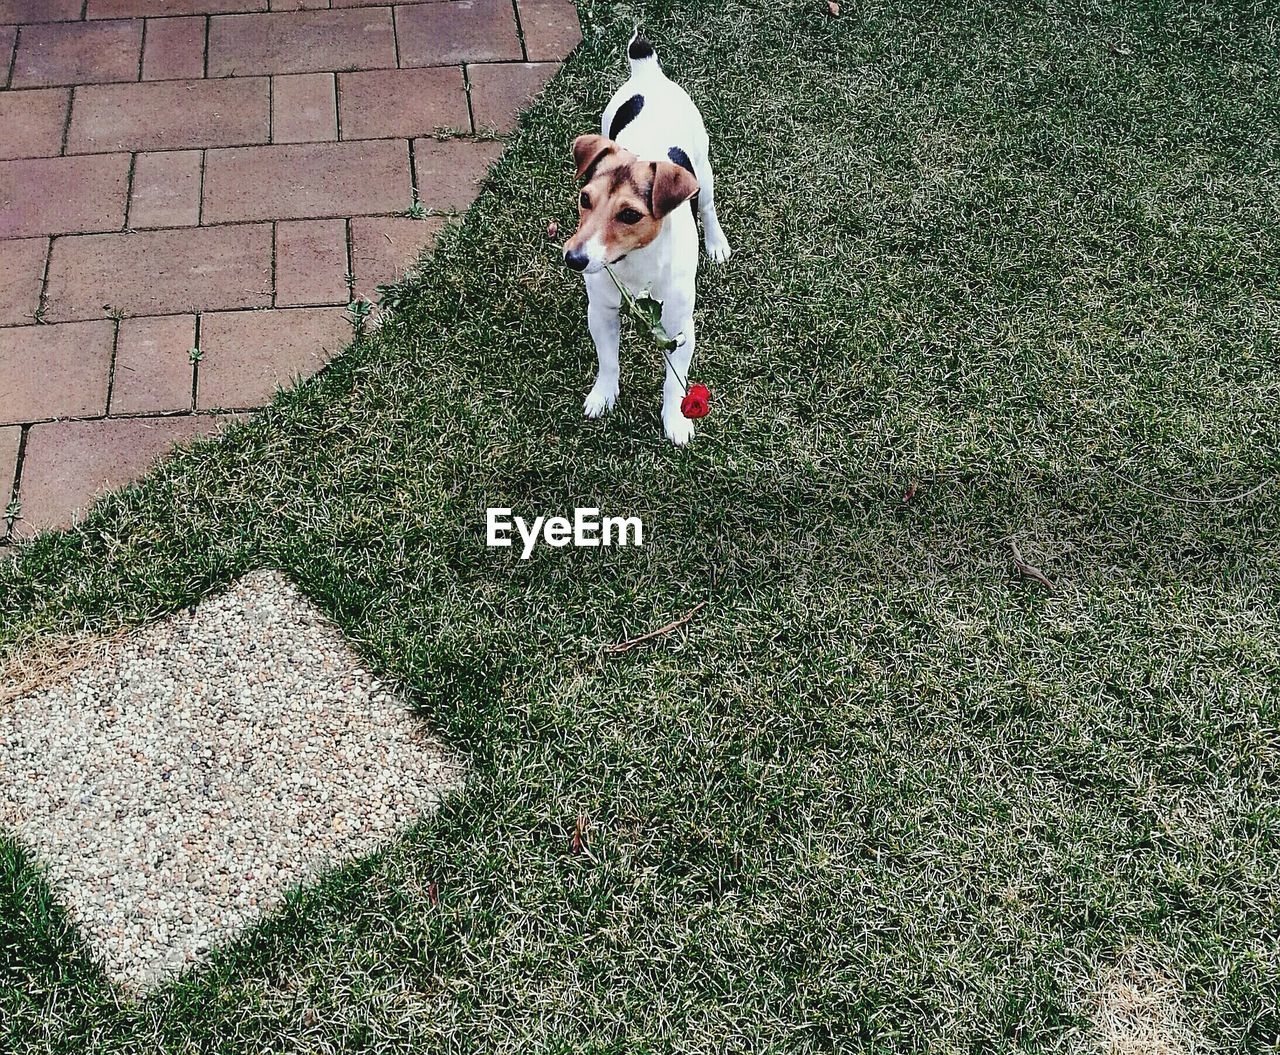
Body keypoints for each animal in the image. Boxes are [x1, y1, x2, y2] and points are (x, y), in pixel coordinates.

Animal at [568, 32, 737, 445]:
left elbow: (675, 384)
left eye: (629, 215)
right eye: (585, 199)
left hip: (704, 173)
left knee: (708, 207)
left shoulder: (679, 328)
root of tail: (649, 74)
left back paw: (716, 244)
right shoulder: (601, 312)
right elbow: (608, 361)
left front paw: (675, 420)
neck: (635, 265)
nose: (573, 259)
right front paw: (603, 396)